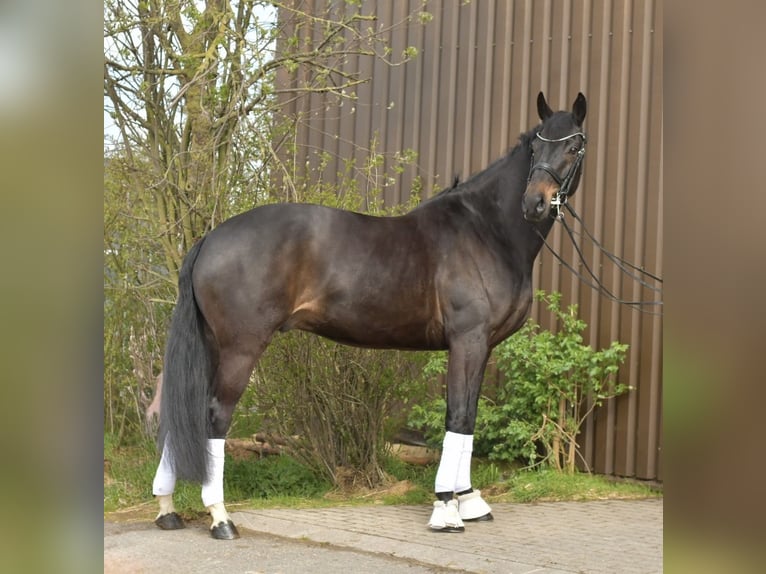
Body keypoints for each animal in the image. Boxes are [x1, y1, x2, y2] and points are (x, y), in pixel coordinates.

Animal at [152, 91, 587, 538]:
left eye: (574, 147)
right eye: (535, 147)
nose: (535, 203)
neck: (486, 231)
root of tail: (211, 238)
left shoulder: (482, 346)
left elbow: (468, 419)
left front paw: (468, 500)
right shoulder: (468, 340)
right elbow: (459, 415)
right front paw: (446, 508)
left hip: (210, 345)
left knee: (178, 410)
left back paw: (168, 509)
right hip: (241, 347)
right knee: (214, 416)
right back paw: (221, 517)